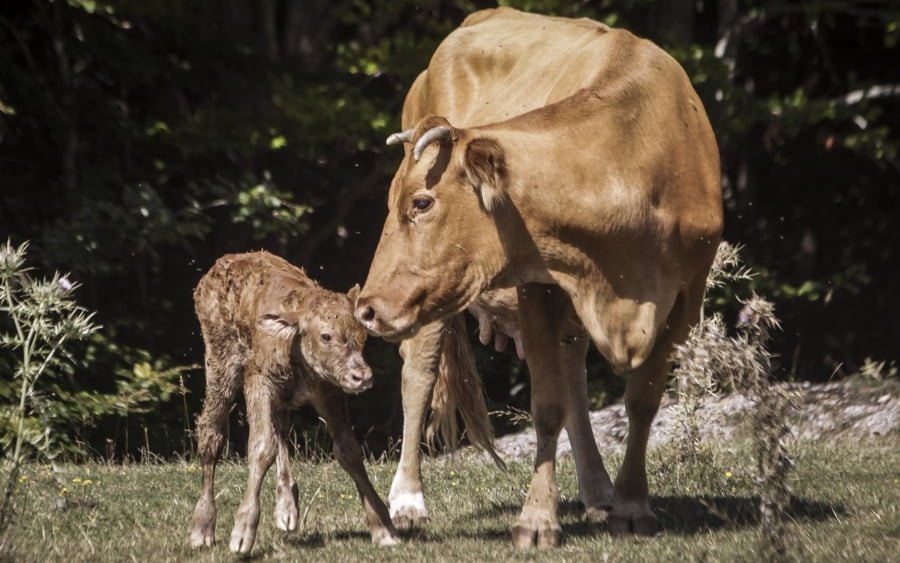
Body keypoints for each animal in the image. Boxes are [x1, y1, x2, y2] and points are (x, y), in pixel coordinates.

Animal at [189, 253, 398, 552]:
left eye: (363, 336)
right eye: (326, 336)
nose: (362, 376)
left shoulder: (327, 392)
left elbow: (348, 450)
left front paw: (383, 527)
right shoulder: (259, 382)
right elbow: (260, 447)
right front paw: (242, 532)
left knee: (281, 431)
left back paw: (286, 508)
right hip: (220, 365)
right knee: (212, 435)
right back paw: (202, 527)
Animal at [358, 6, 724, 548]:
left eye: (421, 203)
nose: (365, 307)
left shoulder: (687, 293)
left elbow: (642, 400)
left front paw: (632, 504)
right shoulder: (537, 284)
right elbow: (547, 404)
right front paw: (536, 520)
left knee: (574, 376)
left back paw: (599, 492)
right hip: (429, 304)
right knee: (419, 373)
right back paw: (407, 500)